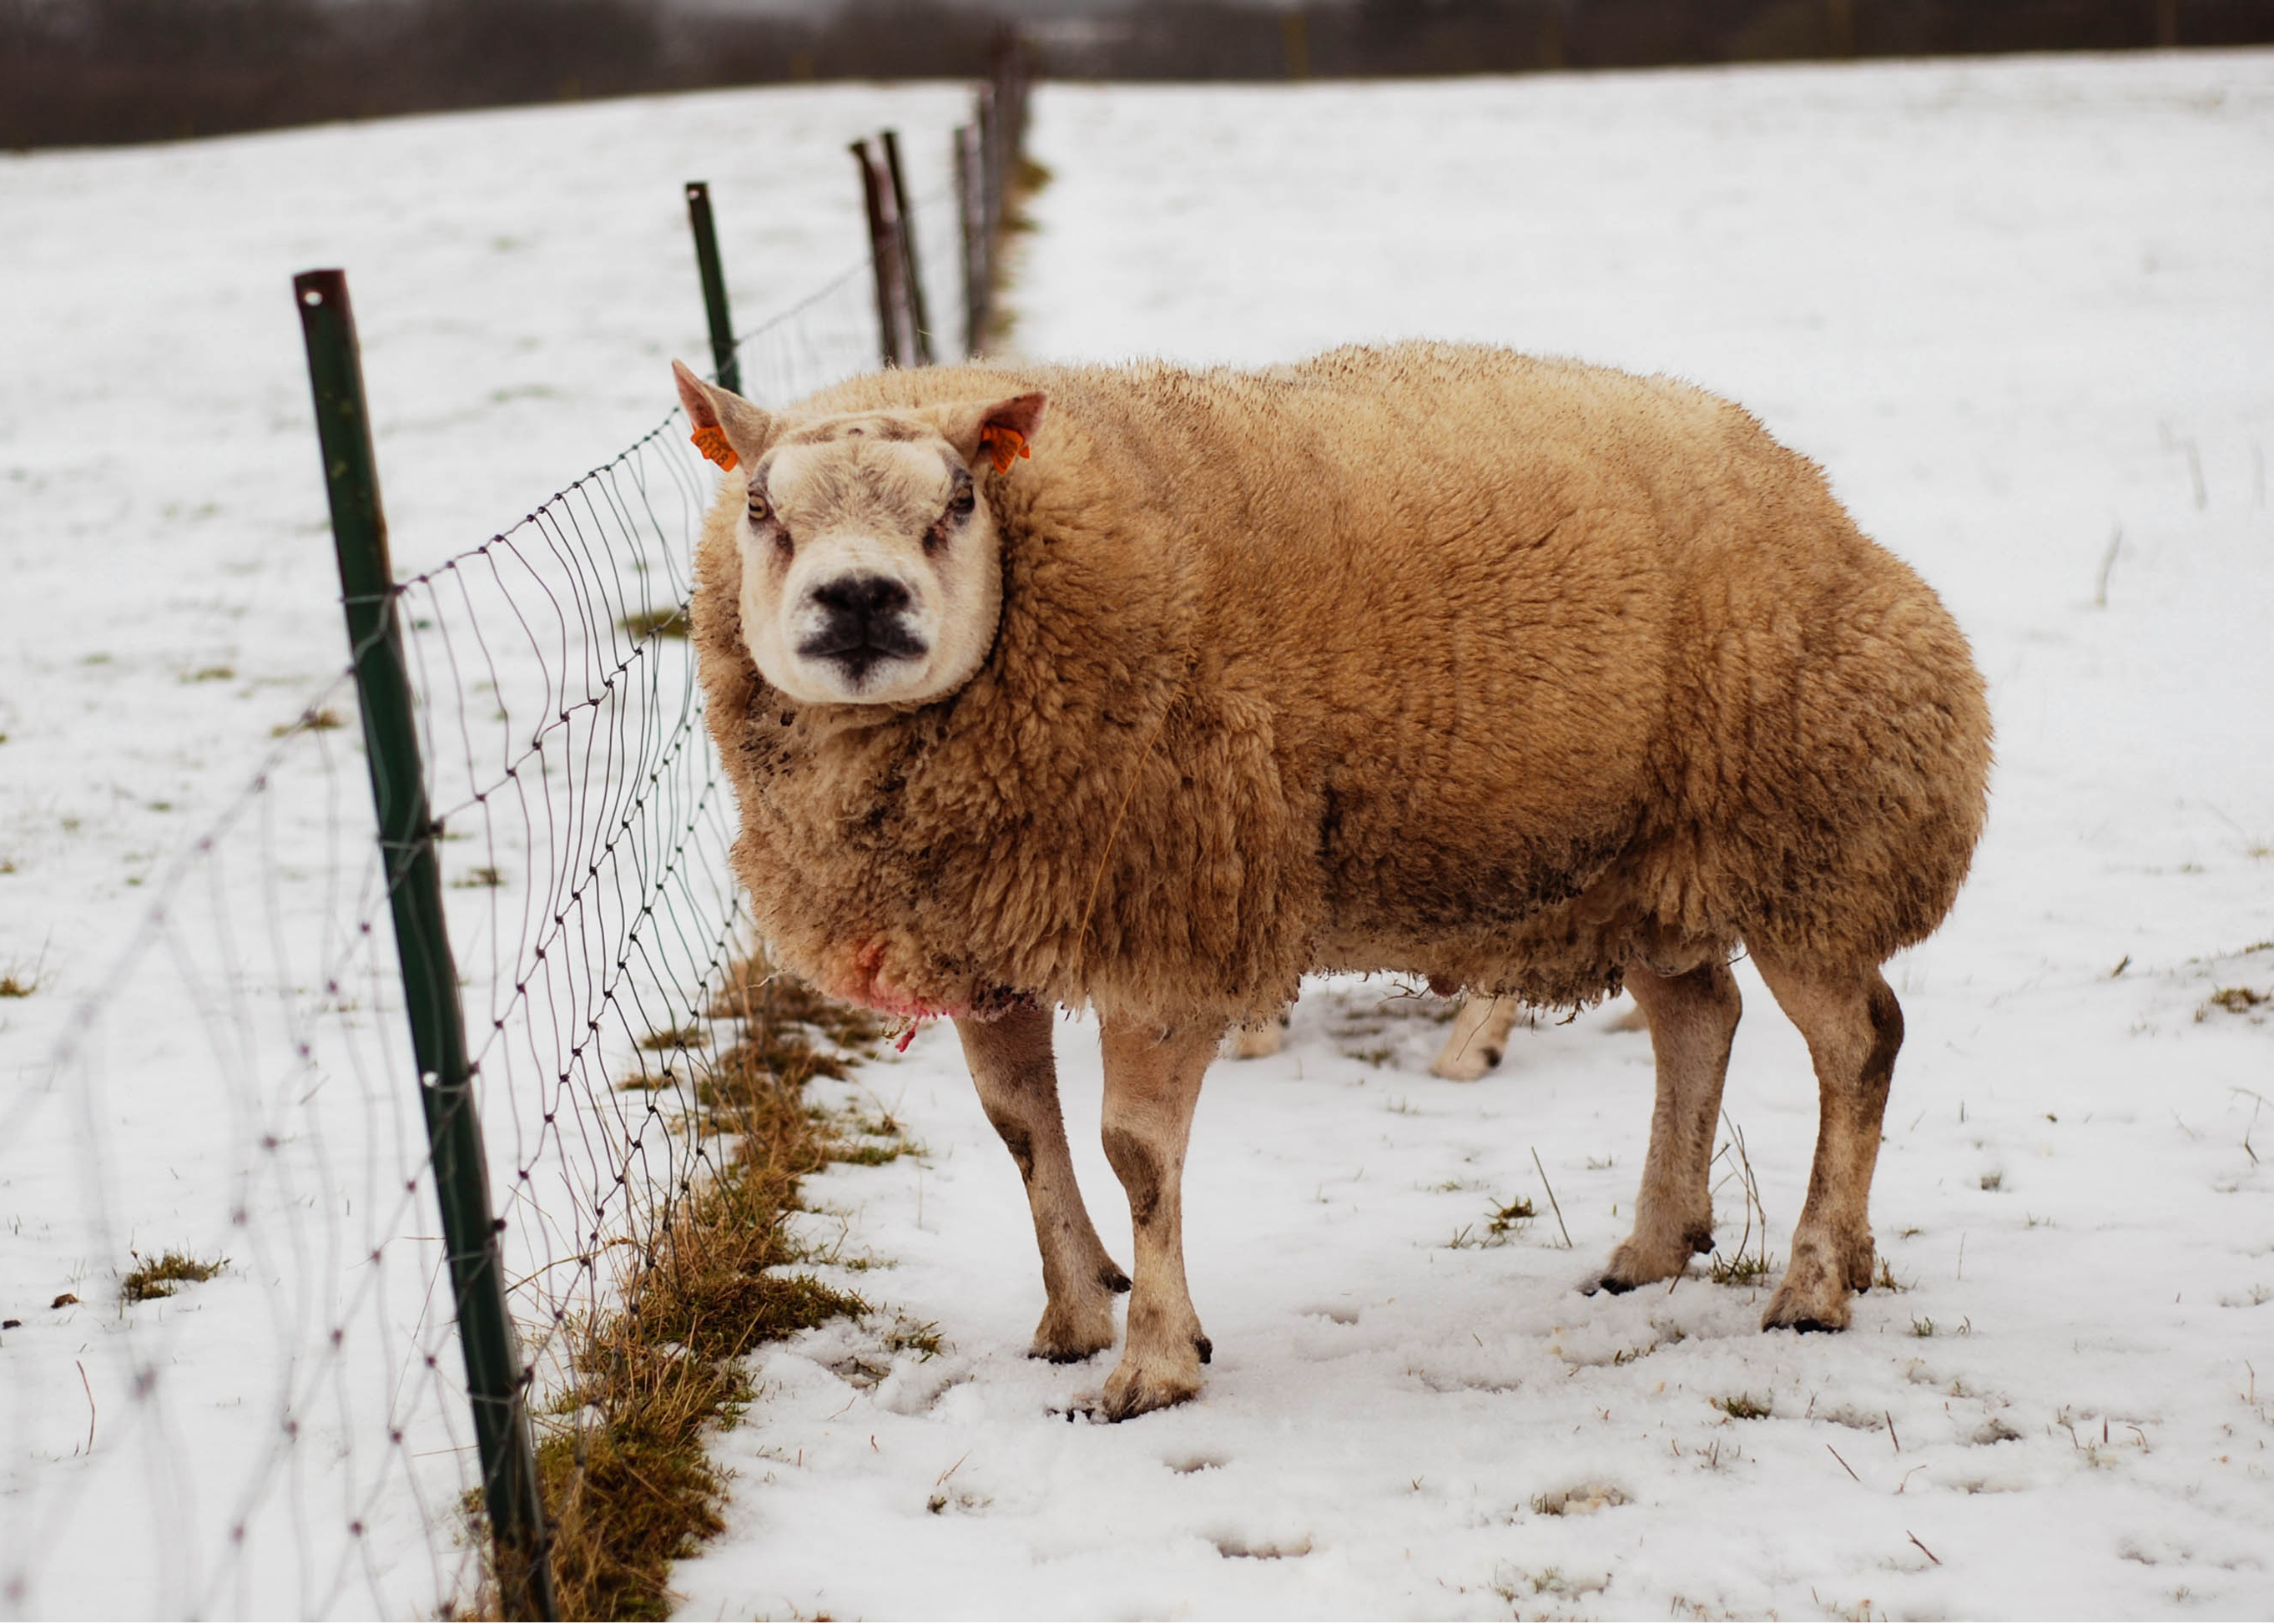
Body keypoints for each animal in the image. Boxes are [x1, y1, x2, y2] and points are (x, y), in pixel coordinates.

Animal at [668, 340, 1992, 1419]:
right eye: (759, 504)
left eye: (957, 499)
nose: (858, 599)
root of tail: (1814, 495)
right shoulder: (985, 938)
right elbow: (1020, 1131)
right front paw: (1072, 1315)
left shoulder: (1176, 917)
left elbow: (1133, 1149)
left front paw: (1153, 1364)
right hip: (1648, 862)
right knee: (1697, 1019)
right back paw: (1662, 1247)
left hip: (1808, 842)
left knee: (1858, 1043)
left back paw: (1812, 1283)